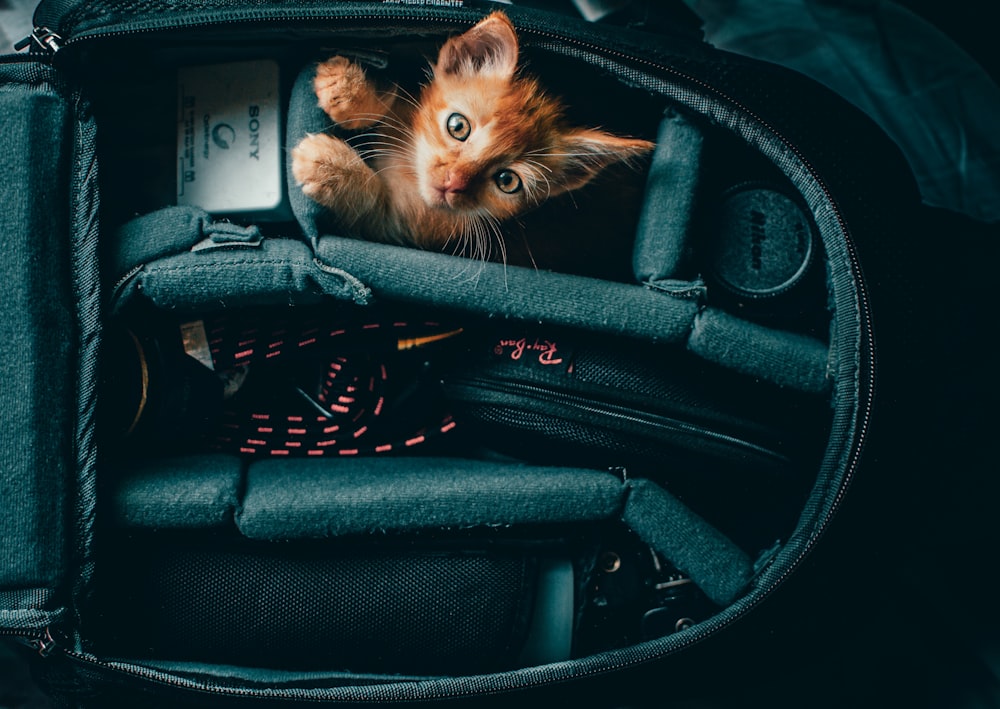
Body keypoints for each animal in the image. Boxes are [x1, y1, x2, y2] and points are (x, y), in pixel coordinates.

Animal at [290, 11, 652, 256]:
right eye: (458, 126)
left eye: (507, 181)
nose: (453, 183)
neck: (408, 170)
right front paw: (348, 89)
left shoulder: (396, 228)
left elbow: (374, 201)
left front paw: (332, 168)